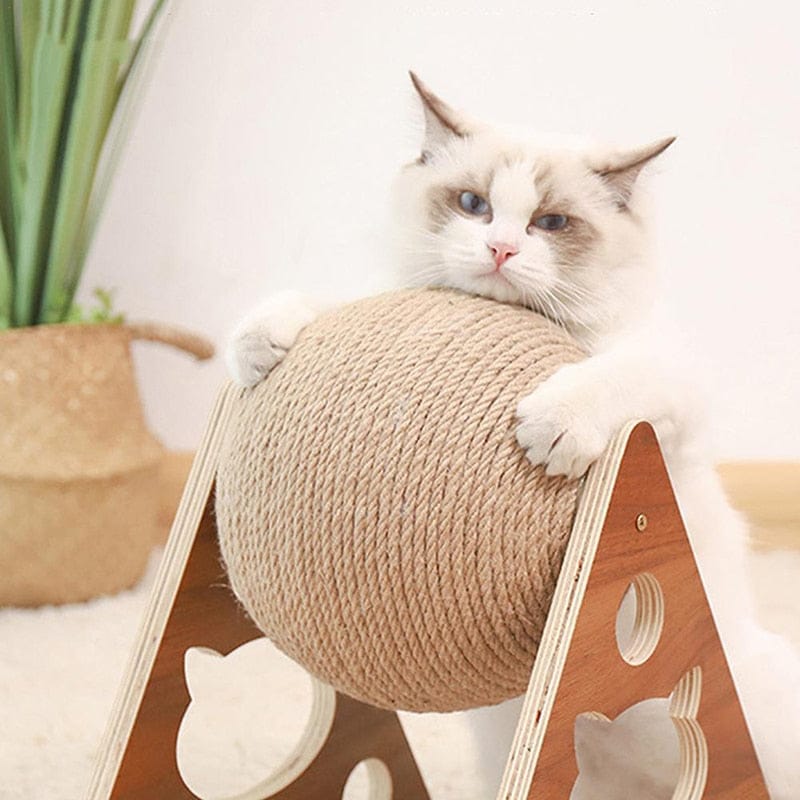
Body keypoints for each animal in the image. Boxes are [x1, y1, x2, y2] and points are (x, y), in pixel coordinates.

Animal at [225, 72, 800, 796]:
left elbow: (611, 375)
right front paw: (258, 339)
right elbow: (328, 304)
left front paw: (551, 426)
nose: (500, 249)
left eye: (549, 223)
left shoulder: (673, 395)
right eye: (473, 205)